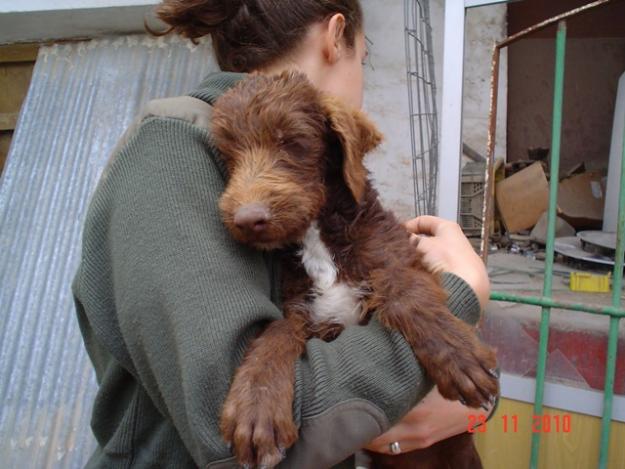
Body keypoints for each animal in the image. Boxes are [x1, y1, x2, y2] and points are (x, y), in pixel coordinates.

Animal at [212, 71, 494, 466]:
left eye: (293, 142)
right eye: (229, 155)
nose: (248, 220)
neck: (318, 238)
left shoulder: (398, 253)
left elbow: (405, 293)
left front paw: (458, 354)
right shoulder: (301, 306)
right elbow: (279, 329)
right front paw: (256, 404)